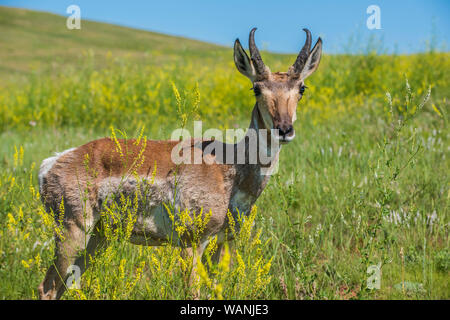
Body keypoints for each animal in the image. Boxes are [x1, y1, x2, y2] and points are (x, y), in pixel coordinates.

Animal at [37, 28, 322, 300]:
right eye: (256, 88)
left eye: (302, 88)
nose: (284, 129)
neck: (229, 166)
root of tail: (53, 162)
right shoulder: (190, 243)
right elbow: (193, 292)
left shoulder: (222, 243)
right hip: (73, 232)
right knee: (47, 287)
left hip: (99, 237)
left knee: (64, 285)